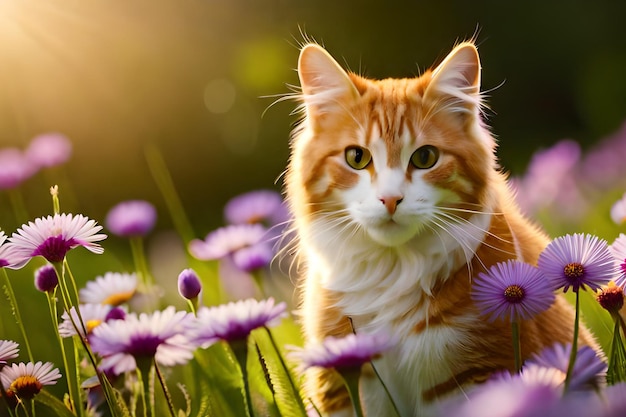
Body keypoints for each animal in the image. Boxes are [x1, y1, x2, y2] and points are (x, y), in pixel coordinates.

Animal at [282, 39, 596, 416]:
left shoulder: (474, 374)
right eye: (357, 158)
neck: (394, 270)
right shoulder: (348, 381)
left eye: (425, 158)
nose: (391, 199)